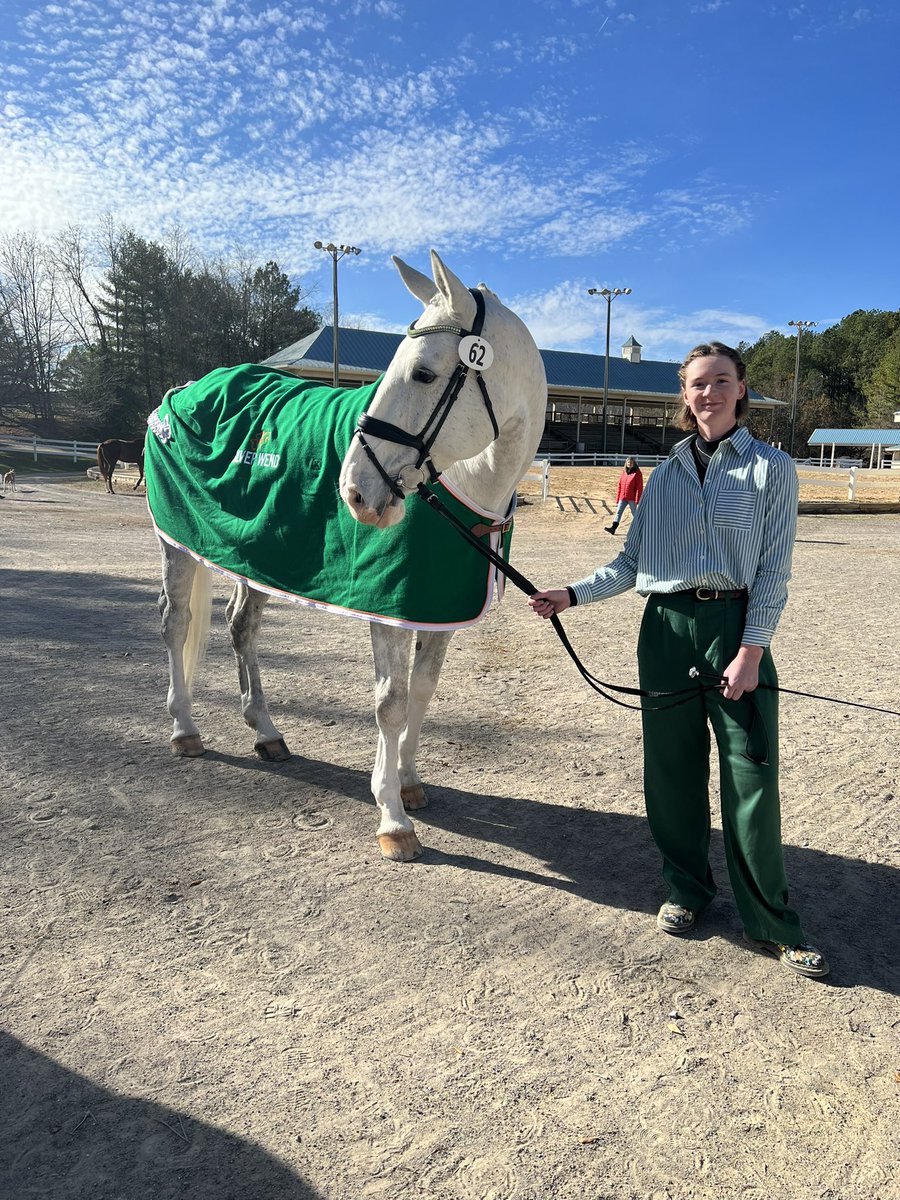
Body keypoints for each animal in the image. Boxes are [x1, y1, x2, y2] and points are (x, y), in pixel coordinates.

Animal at [153, 251, 548, 861]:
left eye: (424, 373)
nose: (355, 492)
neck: (463, 484)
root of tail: (188, 388)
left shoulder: (436, 608)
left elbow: (421, 691)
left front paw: (408, 782)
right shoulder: (386, 606)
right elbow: (390, 700)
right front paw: (392, 817)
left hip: (249, 556)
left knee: (241, 627)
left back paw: (266, 731)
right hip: (179, 546)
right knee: (177, 624)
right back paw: (185, 730)